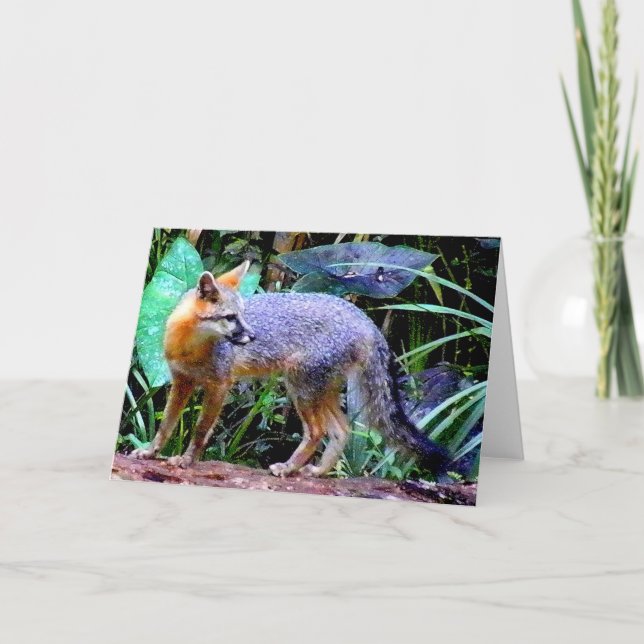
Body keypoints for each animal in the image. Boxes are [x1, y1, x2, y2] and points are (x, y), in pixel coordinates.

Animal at [130, 260, 449, 478]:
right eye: (231, 318)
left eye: (243, 315)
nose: (253, 336)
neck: (190, 347)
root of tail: (364, 318)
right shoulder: (181, 381)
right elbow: (166, 424)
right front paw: (150, 452)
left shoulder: (220, 384)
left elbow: (199, 429)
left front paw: (186, 461)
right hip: (319, 390)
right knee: (342, 430)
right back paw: (317, 472)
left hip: (299, 387)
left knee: (318, 431)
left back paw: (289, 468)